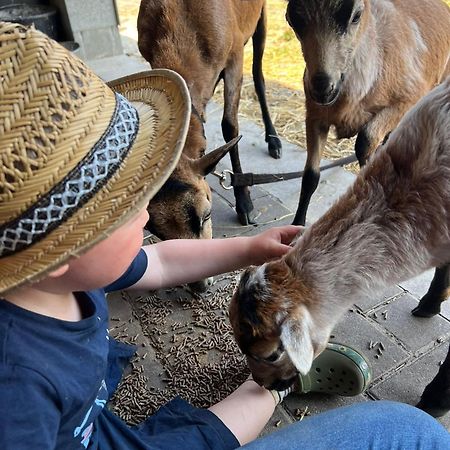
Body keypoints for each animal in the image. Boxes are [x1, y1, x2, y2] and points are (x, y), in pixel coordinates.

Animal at [137, 0, 282, 239]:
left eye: (206, 214)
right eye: (156, 231)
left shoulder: (235, 55)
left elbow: (230, 126)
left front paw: (245, 205)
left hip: (261, 19)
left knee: (258, 76)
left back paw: (274, 141)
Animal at [286, 0, 450, 225]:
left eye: (355, 16)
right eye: (291, 18)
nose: (323, 87)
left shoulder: (407, 100)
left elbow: (365, 141)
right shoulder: (314, 115)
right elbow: (310, 176)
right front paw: (297, 224)